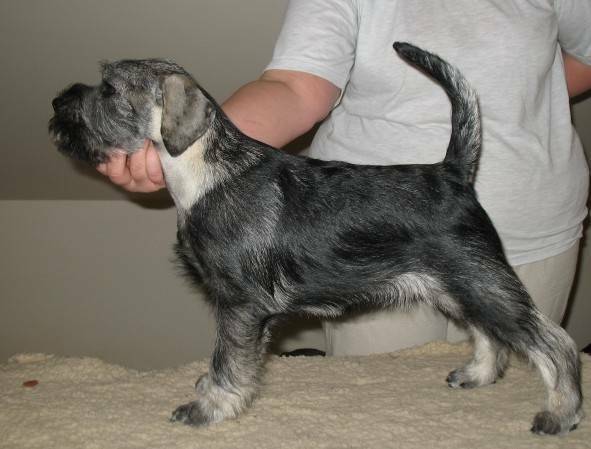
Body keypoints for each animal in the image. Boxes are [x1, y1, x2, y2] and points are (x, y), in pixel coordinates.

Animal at [49, 43, 584, 434]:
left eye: (109, 89)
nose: (57, 103)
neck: (203, 171)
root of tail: (452, 173)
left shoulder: (239, 306)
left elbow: (228, 361)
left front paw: (208, 408)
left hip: (481, 280)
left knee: (553, 342)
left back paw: (560, 413)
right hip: (456, 286)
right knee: (490, 333)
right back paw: (477, 375)